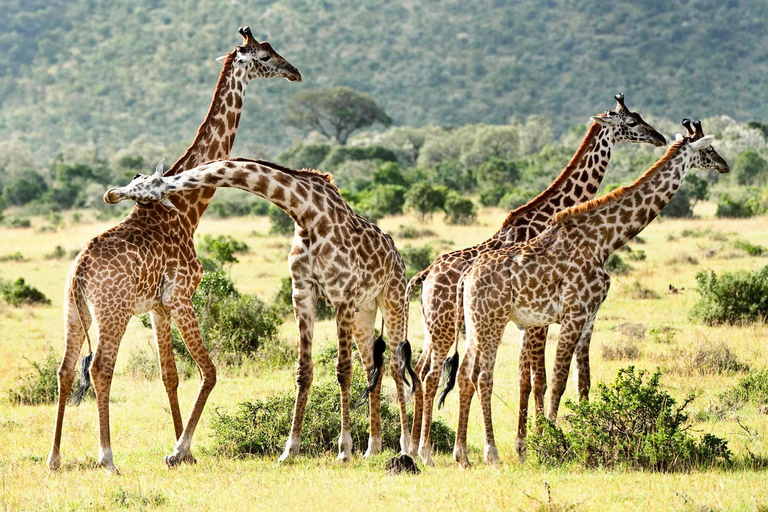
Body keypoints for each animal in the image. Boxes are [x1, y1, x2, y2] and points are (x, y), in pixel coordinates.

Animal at [45, 28, 300, 474]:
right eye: (266, 56)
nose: (295, 72)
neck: (187, 208)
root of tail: (79, 274)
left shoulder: (158, 307)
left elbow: (170, 375)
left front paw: (186, 449)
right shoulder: (182, 296)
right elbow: (210, 372)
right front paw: (179, 449)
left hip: (73, 313)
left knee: (64, 369)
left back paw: (55, 457)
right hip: (112, 313)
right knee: (101, 369)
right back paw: (107, 457)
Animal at [105, 158, 414, 462]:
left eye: (144, 187)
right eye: (134, 180)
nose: (112, 194)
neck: (307, 215)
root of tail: (397, 255)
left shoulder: (342, 295)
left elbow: (342, 370)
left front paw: (344, 450)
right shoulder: (302, 292)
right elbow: (304, 370)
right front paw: (290, 450)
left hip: (393, 299)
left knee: (395, 366)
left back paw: (405, 447)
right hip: (365, 311)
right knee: (373, 366)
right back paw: (373, 448)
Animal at [396, 94, 664, 466]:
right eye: (632, 123)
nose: (660, 137)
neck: (547, 215)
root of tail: (425, 275)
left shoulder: (532, 322)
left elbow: (530, 378)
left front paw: (529, 441)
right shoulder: (538, 322)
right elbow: (536, 379)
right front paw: (531, 443)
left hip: (432, 326)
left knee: (420, 371)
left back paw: (412, 446)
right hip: (446, 326)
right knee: (431, 374)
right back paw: (426, 451)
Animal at [448, 120, 728, 468]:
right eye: (708, 149)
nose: (725, 165)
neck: (605, 241)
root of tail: (466, 277)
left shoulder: (591, 315)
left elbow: (583, 379)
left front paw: (587, 434)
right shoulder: (573, 313)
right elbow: (557, 378)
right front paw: (552, 444)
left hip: (475, 323)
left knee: (465, 373)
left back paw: (462, 455)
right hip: (492, 321)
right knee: (483, 375)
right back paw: (492, 453)